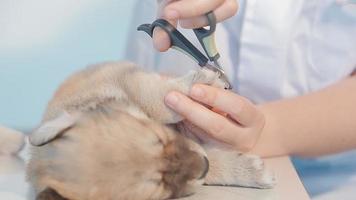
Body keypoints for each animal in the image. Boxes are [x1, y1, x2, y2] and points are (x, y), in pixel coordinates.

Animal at [26, 61, 276, 200]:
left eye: (158, 139)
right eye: (159, 187)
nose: (202, 164)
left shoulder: (132, 83)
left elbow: (160, 102)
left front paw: (201, 81)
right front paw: (250, 171)